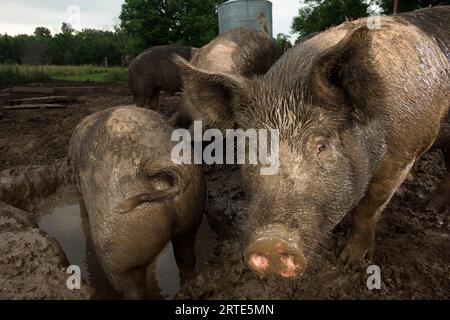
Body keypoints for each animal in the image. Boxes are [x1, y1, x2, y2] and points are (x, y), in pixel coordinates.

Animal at [67, 106, 207, 298]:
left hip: (121, 251)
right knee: (186, 255)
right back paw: (195, 288)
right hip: (192, 211)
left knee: (133, 287)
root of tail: (155, 172)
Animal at [175, 6, 450, 278]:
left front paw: (349, 264)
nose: (271, 241)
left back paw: (427, 208)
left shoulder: (404, 152)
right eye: (252, 150)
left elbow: (368, 208)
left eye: (321, 146)